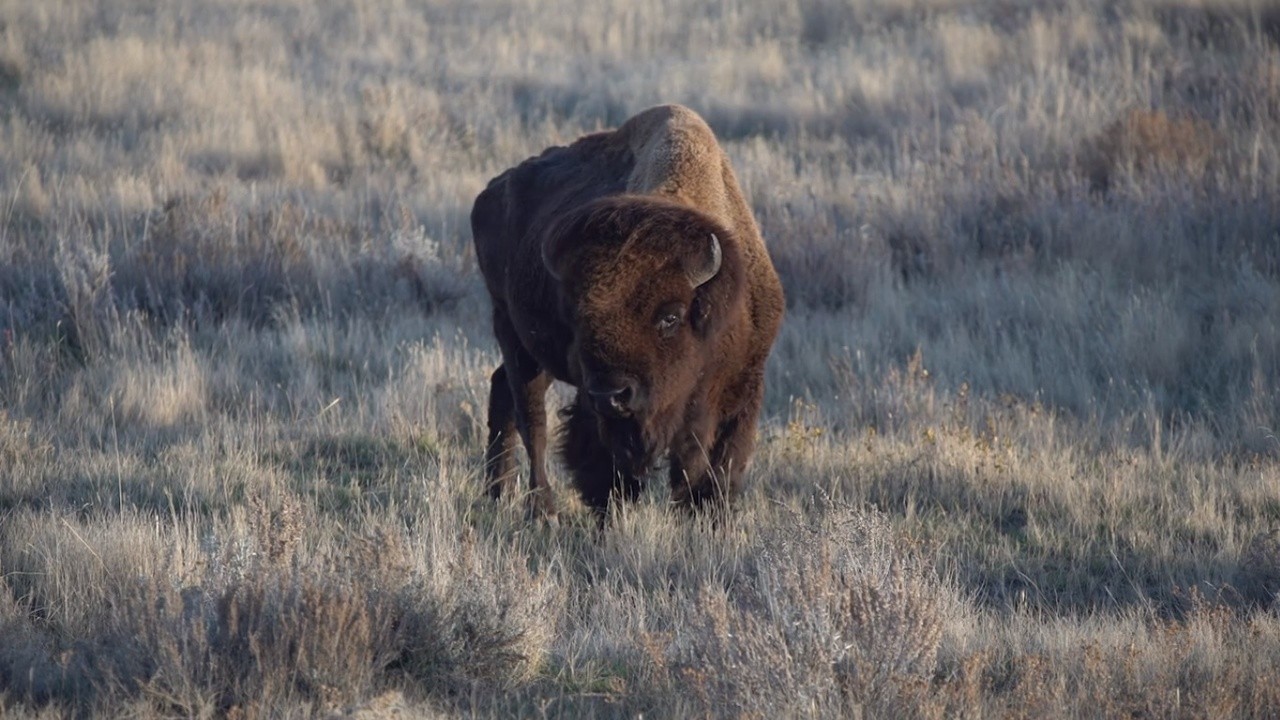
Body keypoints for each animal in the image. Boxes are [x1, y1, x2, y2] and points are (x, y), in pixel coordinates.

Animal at [470, 104, 784, 520]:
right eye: (580, 318)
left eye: (670, 317)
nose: (613, 395)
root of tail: (491, 191)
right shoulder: (595, 405)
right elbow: (602, 463)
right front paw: (610, 513)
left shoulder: (741, 391)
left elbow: (718, 467)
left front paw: (709, 516)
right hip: (510, 329)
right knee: (531, 418)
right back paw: (542, 510)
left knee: (503, 390)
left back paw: (496, 494)